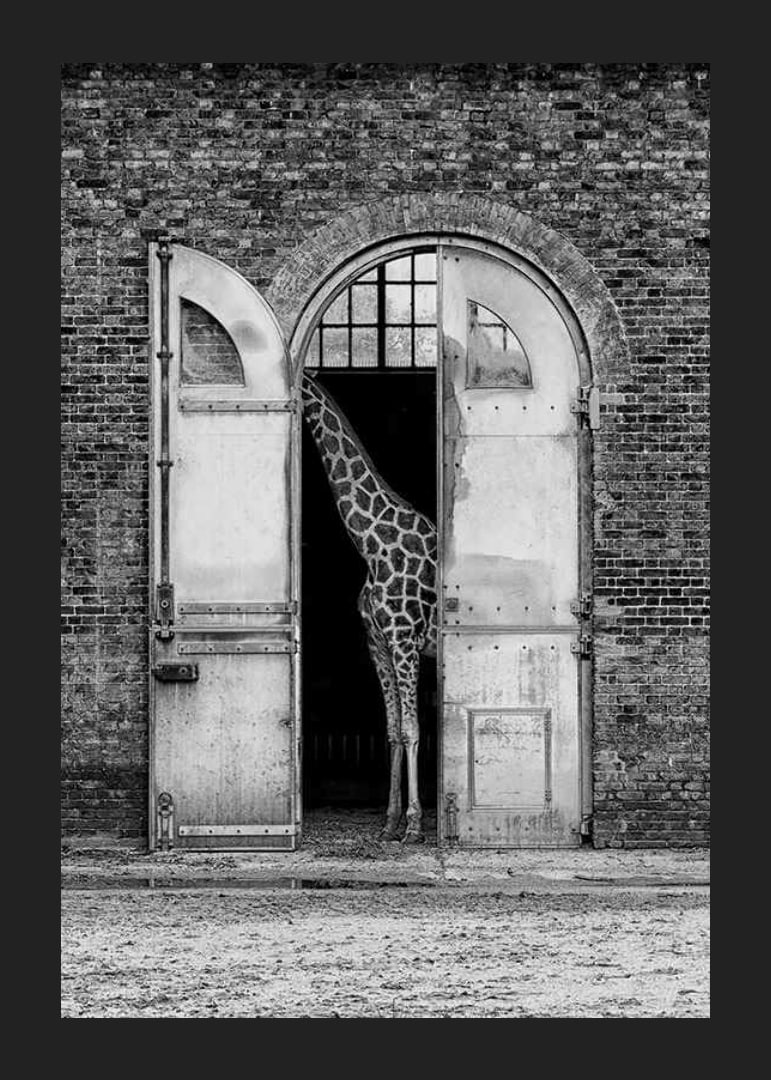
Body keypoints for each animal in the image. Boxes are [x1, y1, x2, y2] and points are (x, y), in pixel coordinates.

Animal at [300, 371, 437, 843]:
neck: (372, 544)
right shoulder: (377, 642)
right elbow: (393, 731)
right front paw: (390, 821)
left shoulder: (404, 639)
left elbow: (413, 729)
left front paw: (413, 825)